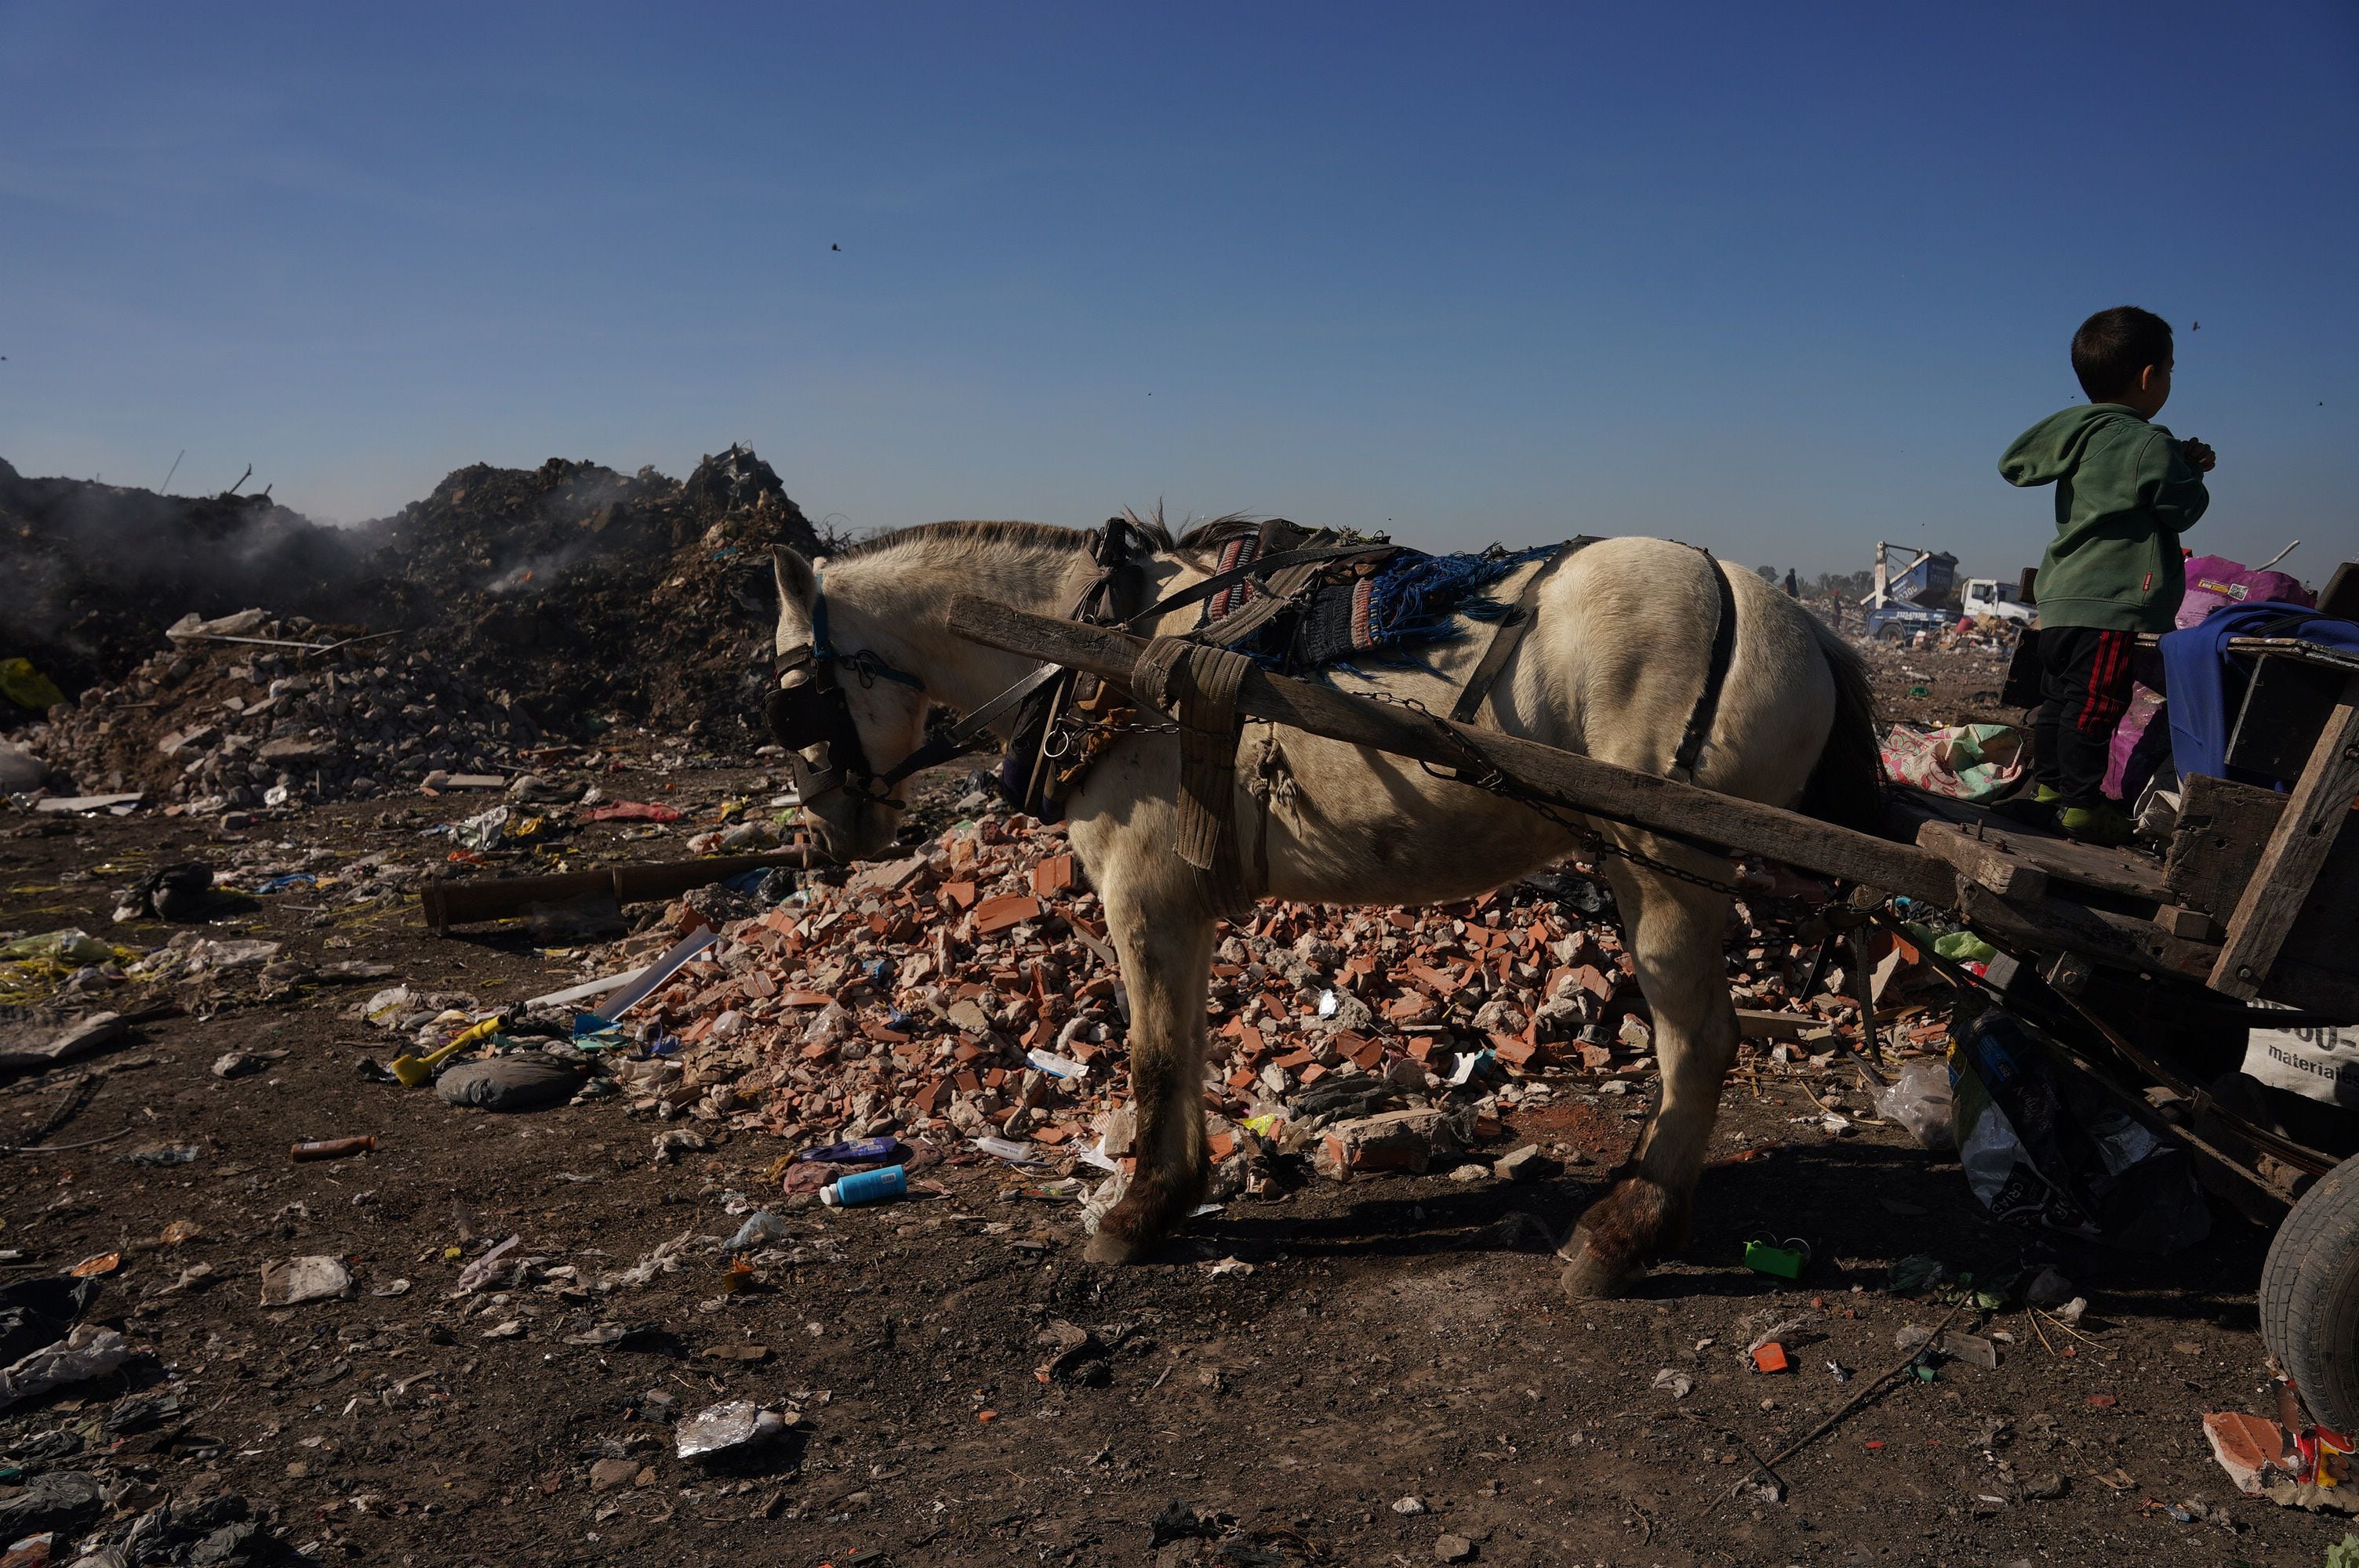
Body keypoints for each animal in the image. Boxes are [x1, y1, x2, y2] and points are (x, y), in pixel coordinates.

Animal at [773, 518, 1877, 1292]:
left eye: (785, 697)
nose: (818, 840)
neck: (1095, 645)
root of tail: (1801, 624)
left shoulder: (1141, 890)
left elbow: (1153, 1050)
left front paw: (1136, 1214)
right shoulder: (1183, 897)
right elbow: (1183, 1043)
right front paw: (1174, 1191)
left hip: (1666, 865)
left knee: (1699, 1039)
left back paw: (1625, 1230)